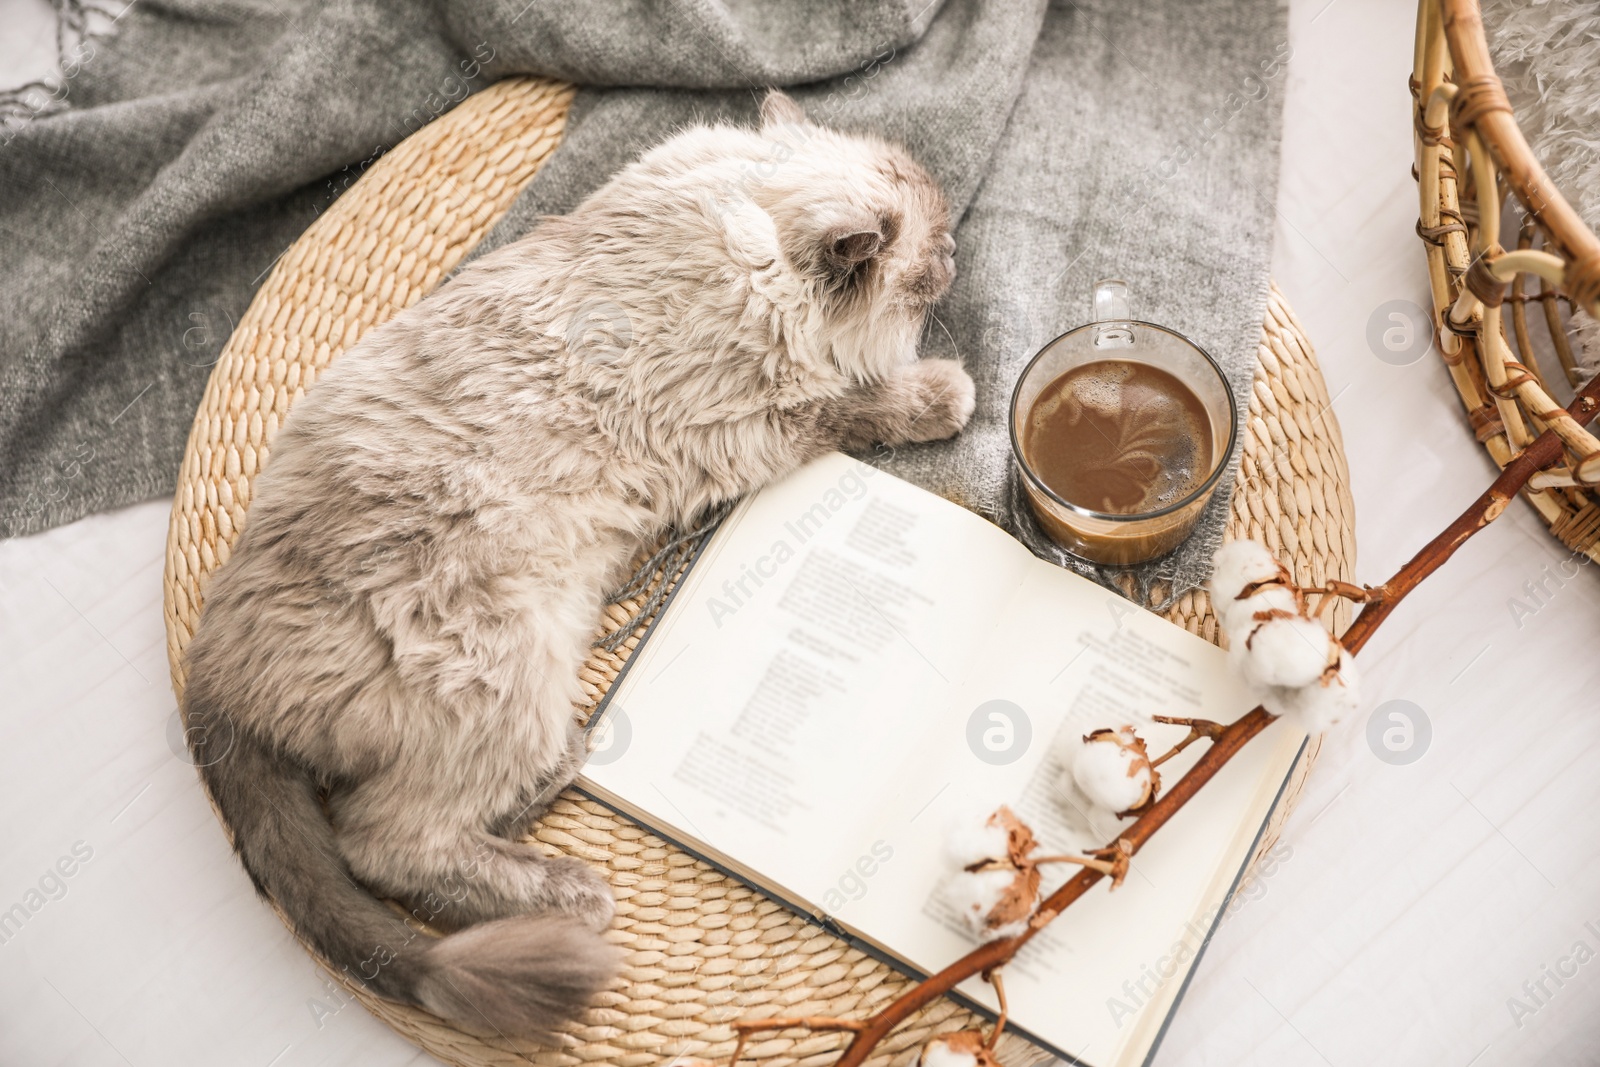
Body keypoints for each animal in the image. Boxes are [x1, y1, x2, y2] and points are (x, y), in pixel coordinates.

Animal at [181, 87, 966, 1036]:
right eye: (932, 258)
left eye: (946, 236)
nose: (959, 251)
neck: (742, 233)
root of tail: (213, 678)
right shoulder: (763, 426)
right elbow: (866, 403)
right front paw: (945, 393)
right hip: (507, 665)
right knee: (382, 843)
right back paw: (574, 888)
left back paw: (565, 767)